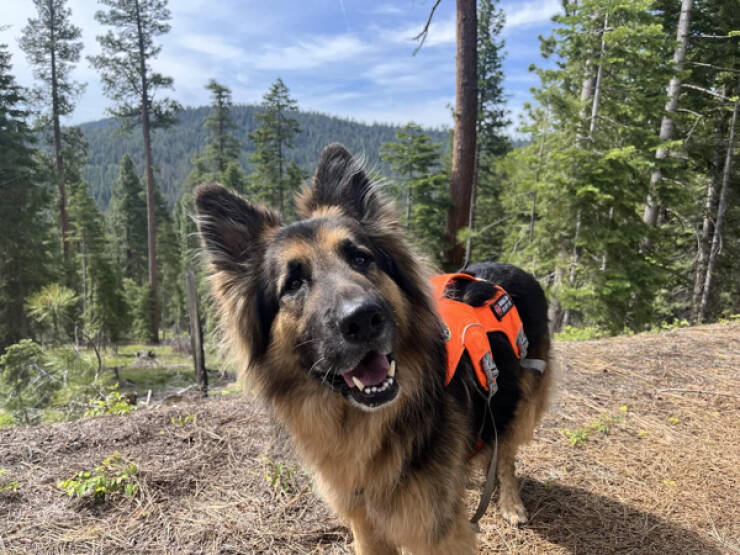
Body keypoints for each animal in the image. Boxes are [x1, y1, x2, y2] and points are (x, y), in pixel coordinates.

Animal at [194, 146, 552, 552]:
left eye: (361, 258)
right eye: (294, 283)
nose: (363, 319)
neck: (366, 427)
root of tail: (513, 268)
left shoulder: (436, 532)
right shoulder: (364, 524)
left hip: (522, 402)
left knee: (505, 454)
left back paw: (510, 502)